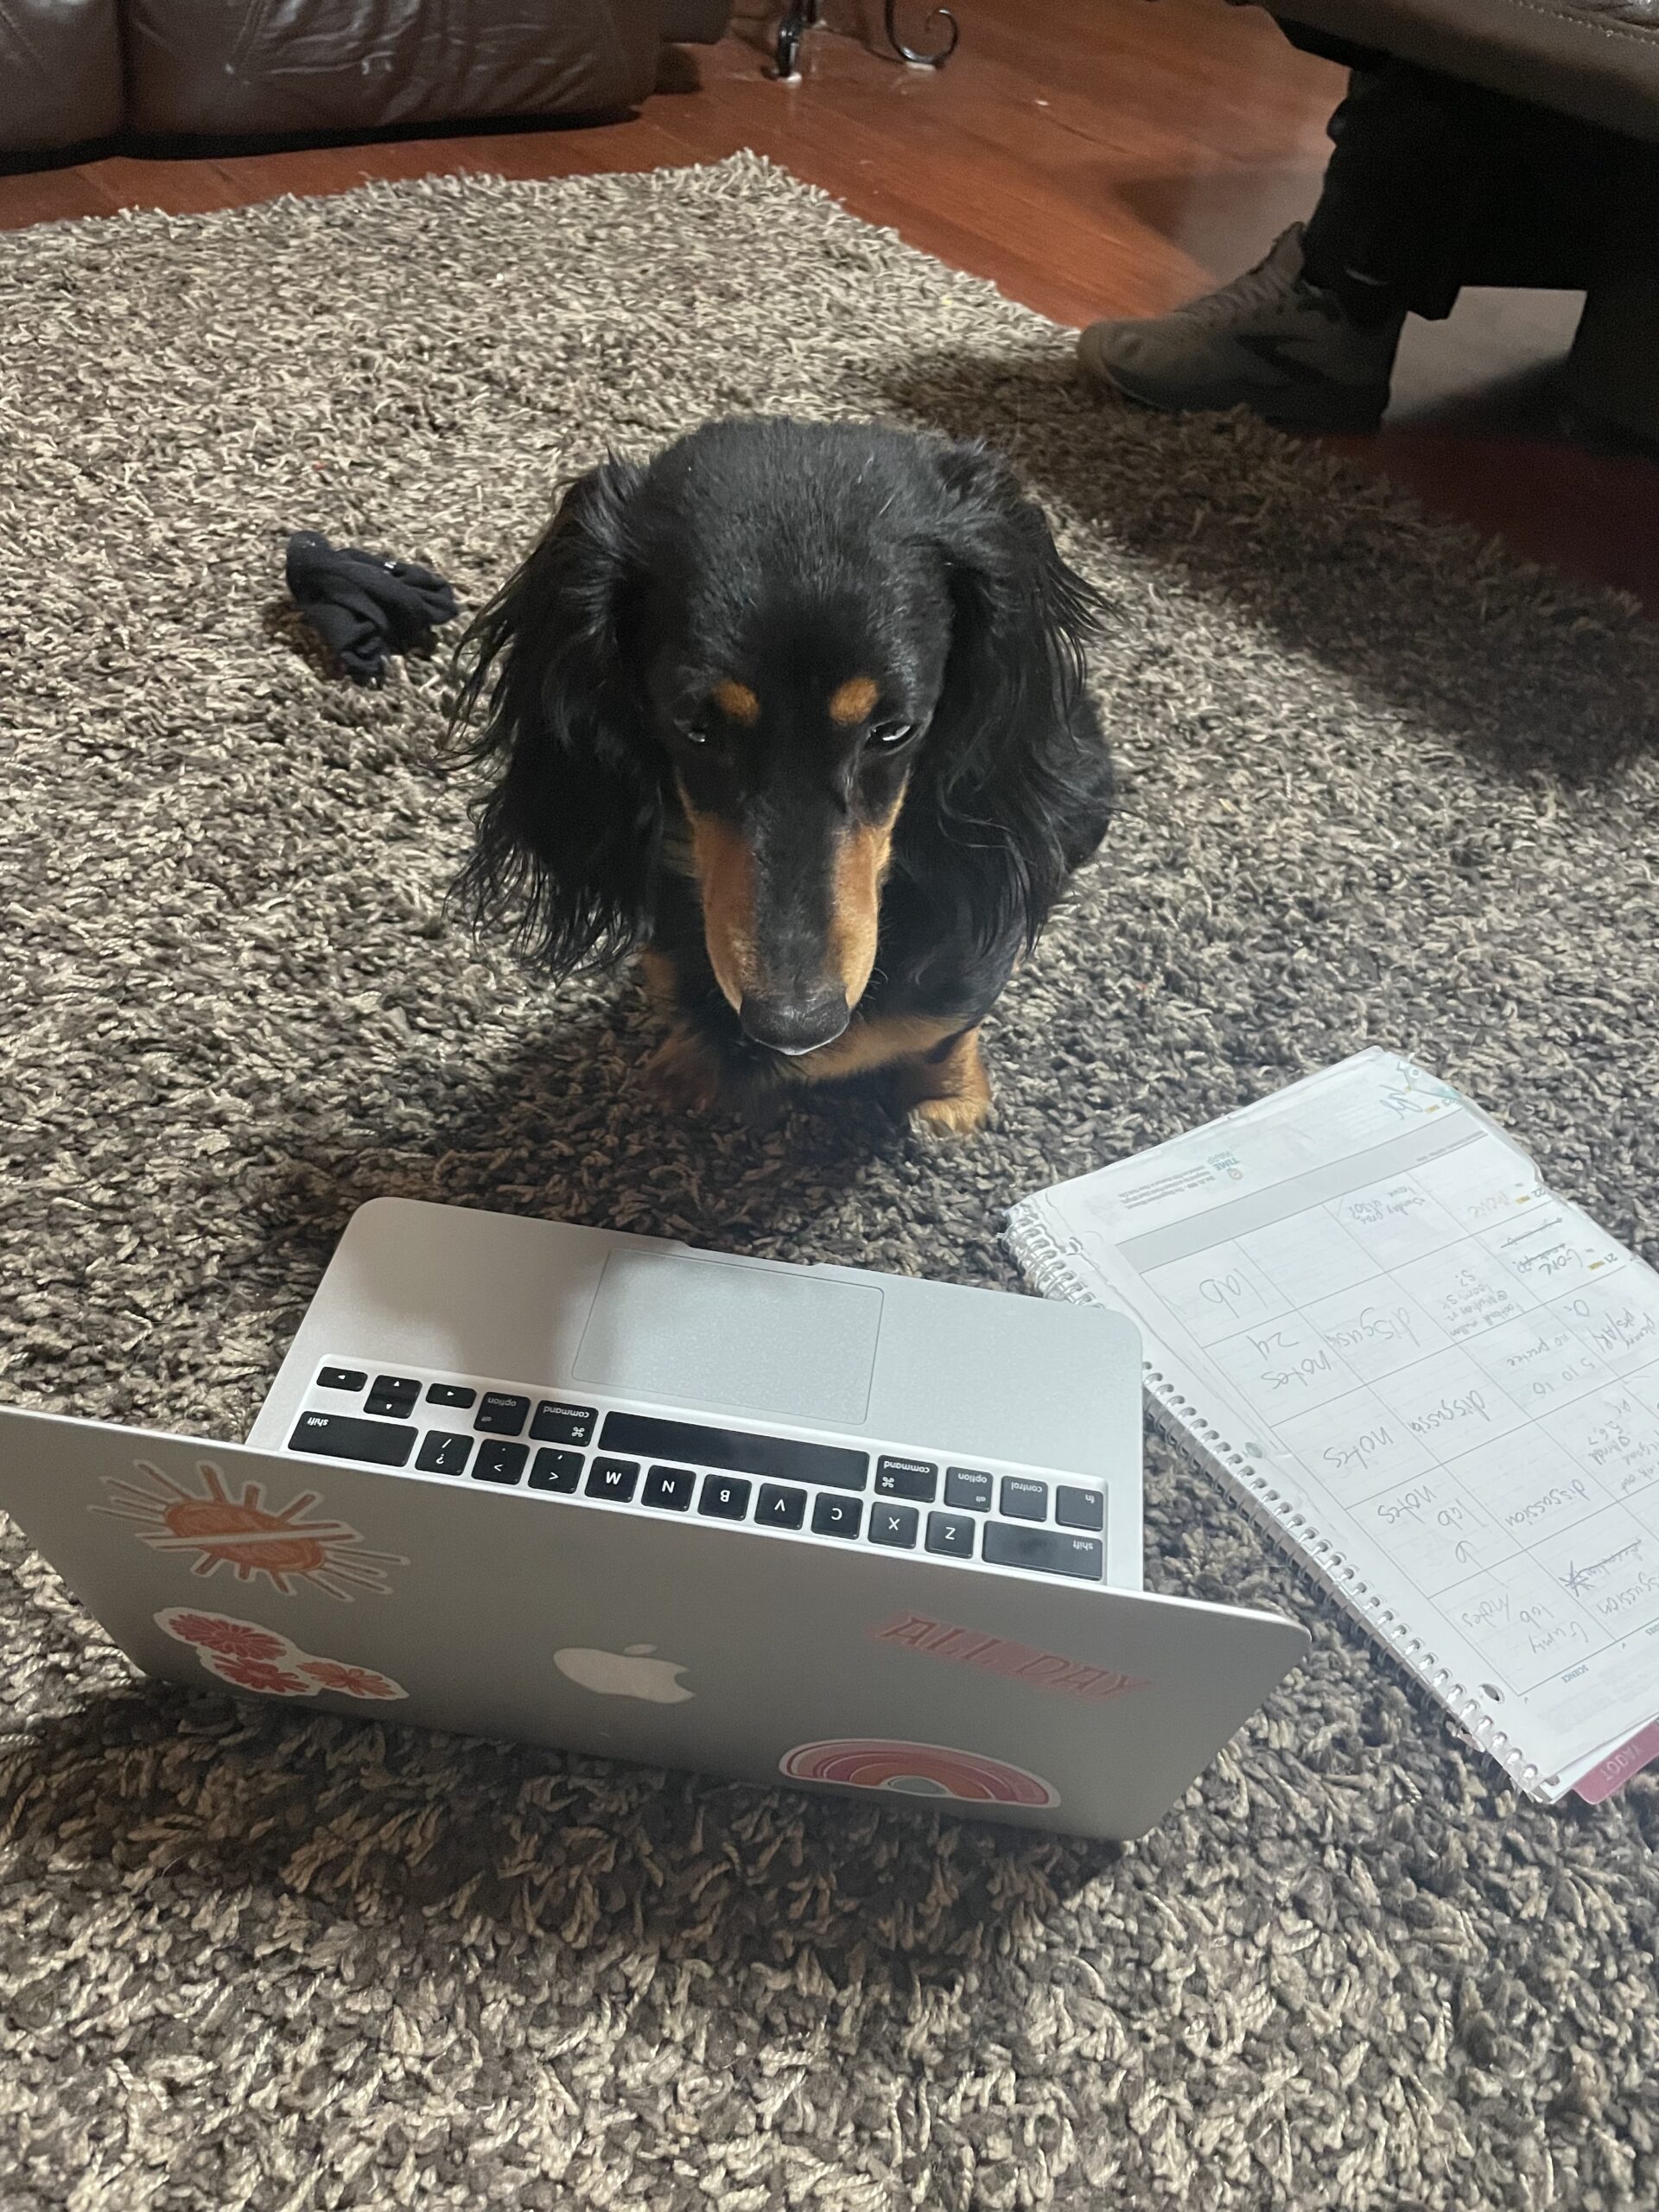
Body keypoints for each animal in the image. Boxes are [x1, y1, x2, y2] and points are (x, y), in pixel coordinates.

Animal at [450, 418, 1113, 1137]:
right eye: (694, 727)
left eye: (894, 731)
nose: (796, 1026)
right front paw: (690, 1064)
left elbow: (946, 1027)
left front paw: (948, 1098)